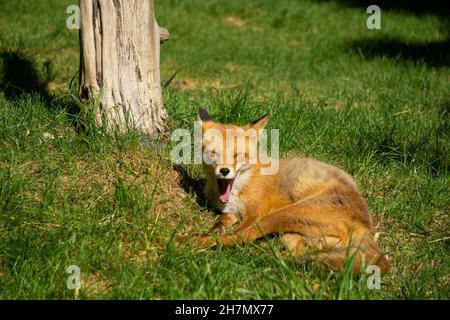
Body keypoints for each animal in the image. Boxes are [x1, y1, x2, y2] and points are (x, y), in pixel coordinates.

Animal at [181, 109, 388, 274]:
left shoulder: (254, 214)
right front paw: (211, 231)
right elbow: (218, 225)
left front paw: (205, 238)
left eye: (237, 155)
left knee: (241, 237)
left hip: (278, 216)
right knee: (293, 253)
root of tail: (366, 225)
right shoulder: (230, 212)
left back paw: (191, 242)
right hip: (294, 235)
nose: (224, 171)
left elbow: (236, 231)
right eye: (213, 153)